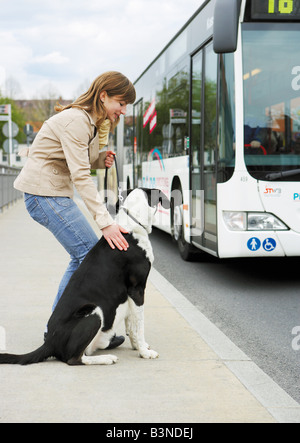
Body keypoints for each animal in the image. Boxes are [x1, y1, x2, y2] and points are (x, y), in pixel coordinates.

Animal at [0, 189, 169, 366]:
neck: (132, 221)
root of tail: (50, 343)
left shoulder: (130, 295)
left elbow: (131, 324)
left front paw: (137, 346)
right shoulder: (137, 290)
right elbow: (139, 326)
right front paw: (144, 352)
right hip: (94, 312)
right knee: (74, 359)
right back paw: (106, 358)